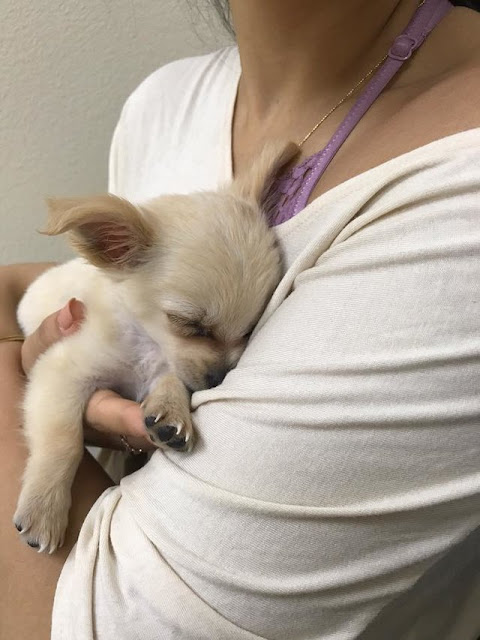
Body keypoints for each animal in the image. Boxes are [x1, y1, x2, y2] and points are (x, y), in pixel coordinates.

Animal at [13, 141, 296, 556]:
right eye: (190, 324)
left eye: (249, 330)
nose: (219, 377)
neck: (147, 344)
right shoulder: (61, 371)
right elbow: (63, 440)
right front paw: (43, 509)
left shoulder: (166, 365)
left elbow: (171, 378)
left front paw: (170, 409)